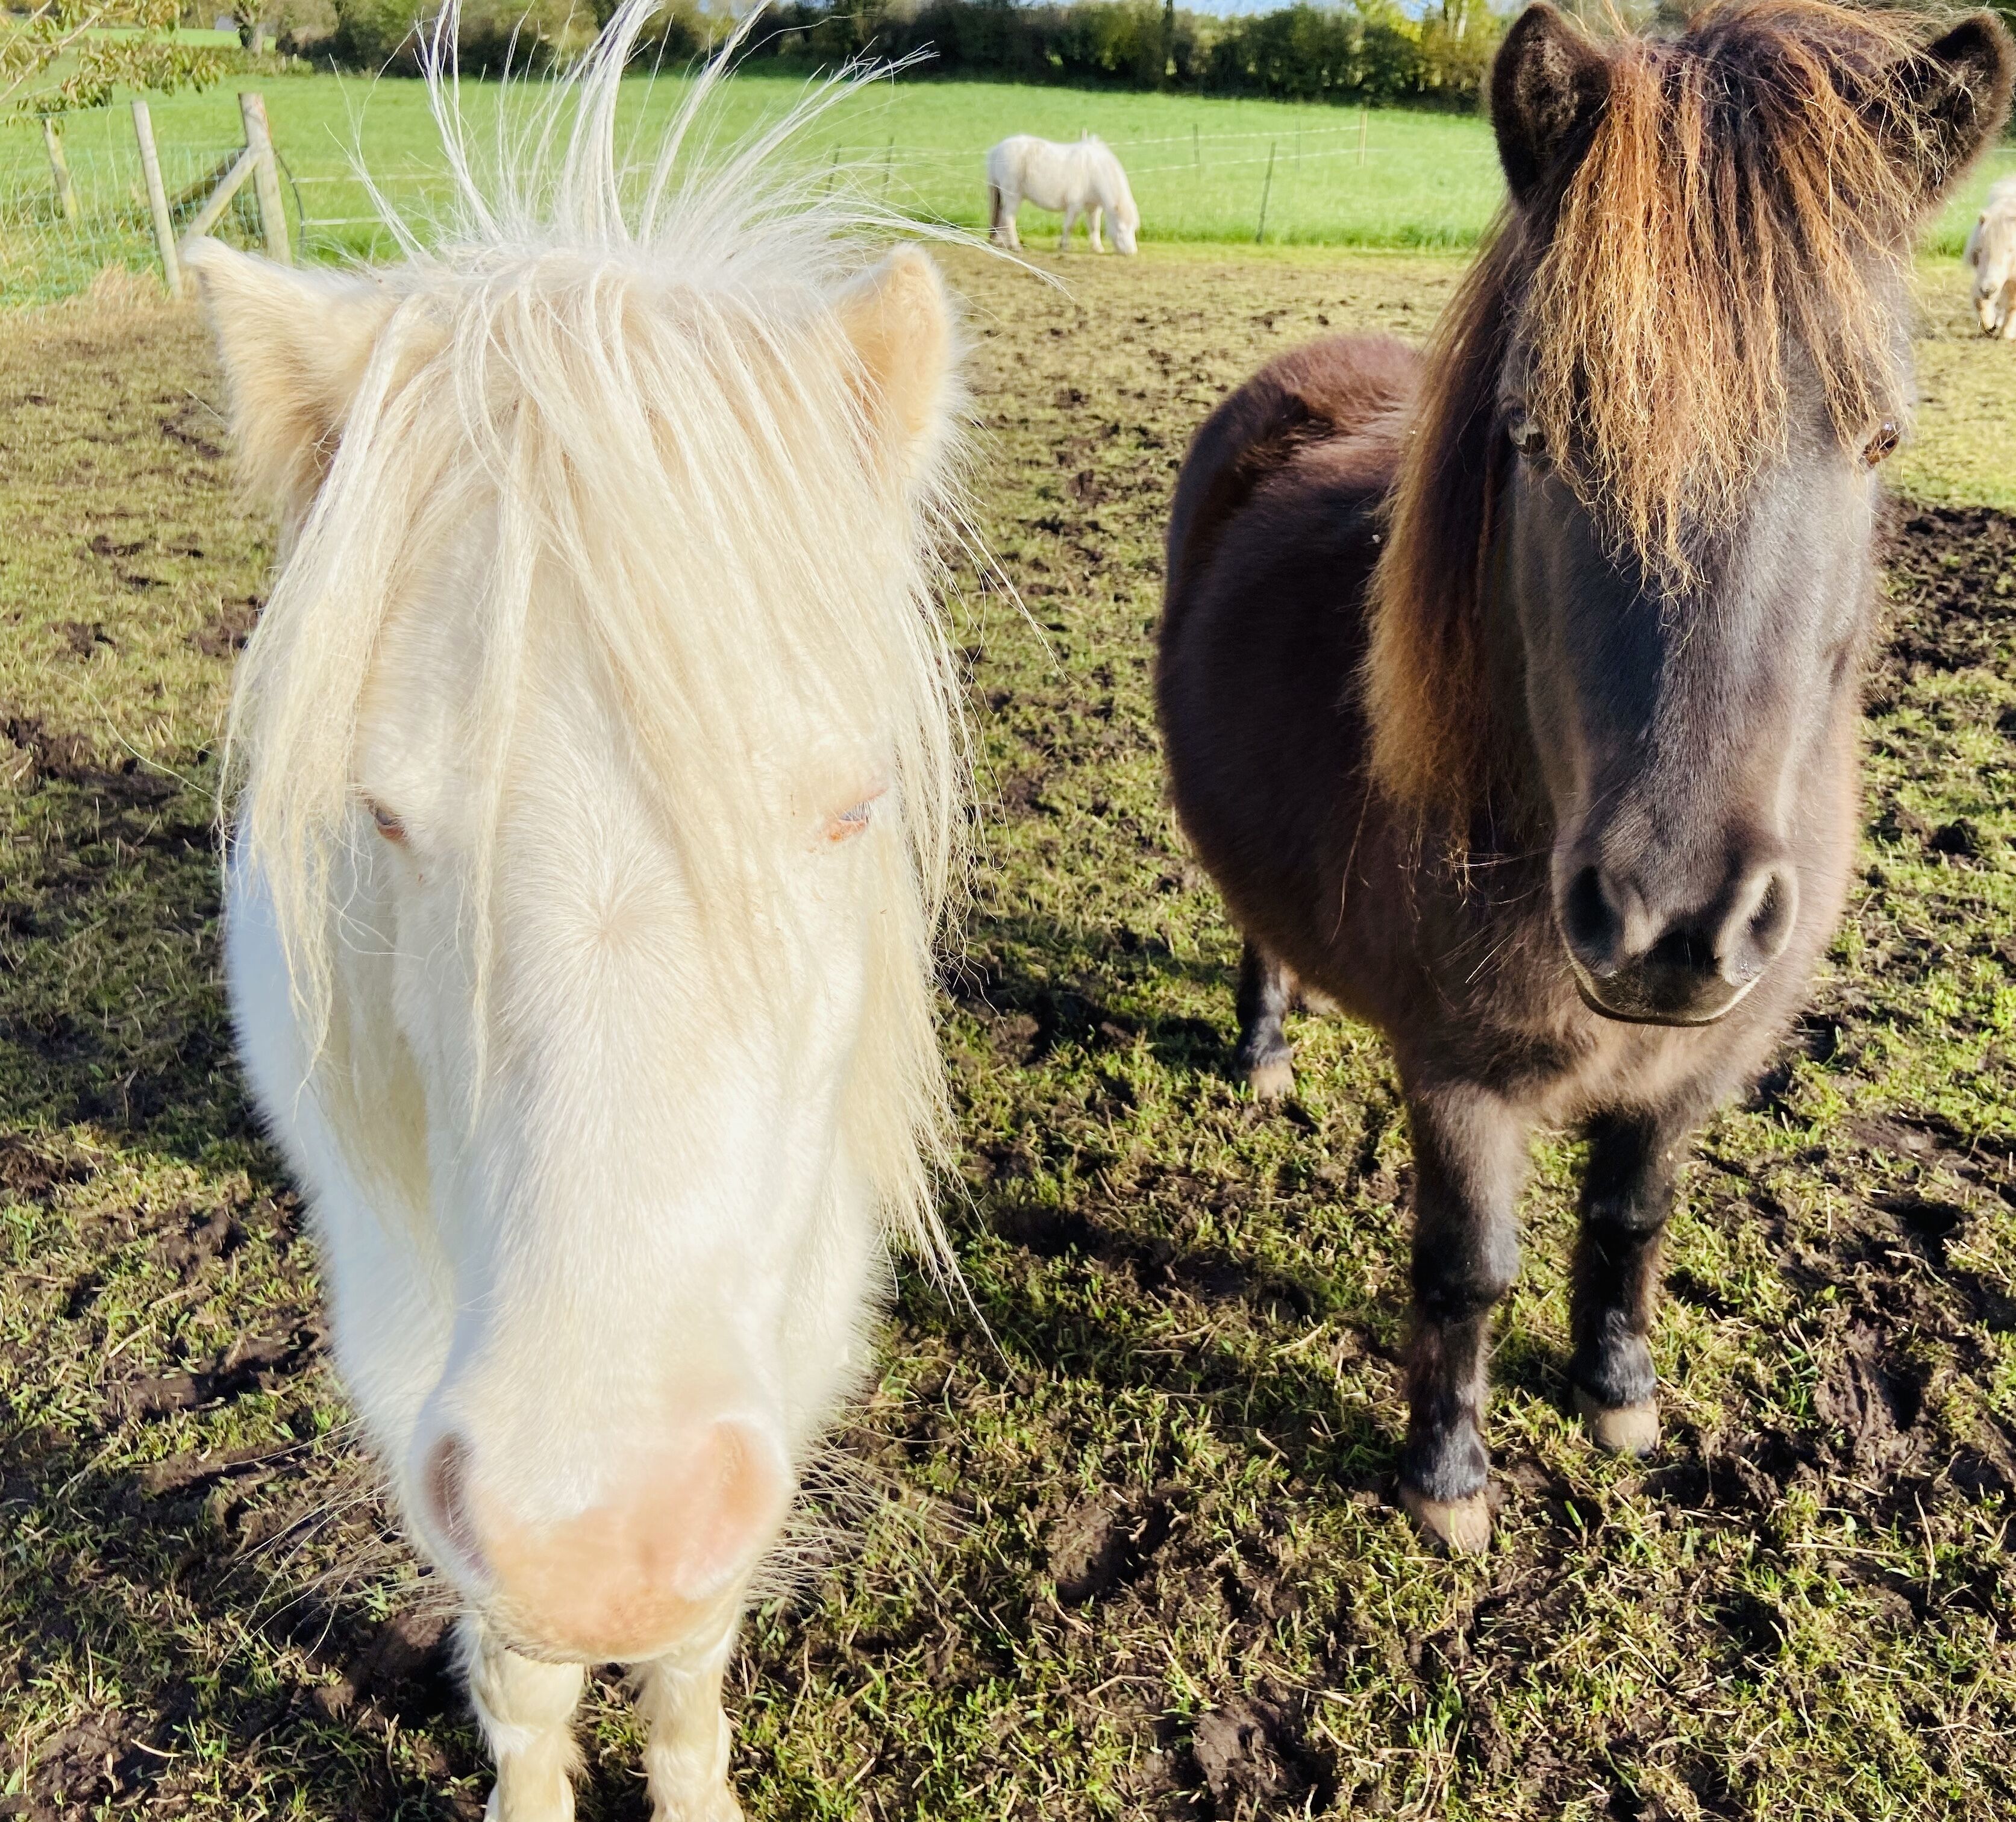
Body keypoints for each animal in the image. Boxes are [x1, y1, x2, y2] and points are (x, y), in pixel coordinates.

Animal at [184, 5, 975, 1814]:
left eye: (849, 809)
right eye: (381, 814)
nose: (596, 1536)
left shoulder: (784, 1324)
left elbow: (689, 1654)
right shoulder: (414, 1346)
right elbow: (527, 1670)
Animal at [986, 132, 1140, 254]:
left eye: (1134, 228)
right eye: (1121, 229)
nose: (1131, 252)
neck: (1095, 170)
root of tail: (996, 150)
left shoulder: (1093, 207)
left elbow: (1094, 227)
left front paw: (1097, 247)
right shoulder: (1074, 206)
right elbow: (1069, 226)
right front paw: (1064, 246)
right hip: (1013, 196)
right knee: (1009, 218)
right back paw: (1015, 246)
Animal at [1963, 173, 2016, 334]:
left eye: (2011, 250)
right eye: (1980, 249)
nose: (1988, 290)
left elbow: (2012, 304)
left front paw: (2007, 334)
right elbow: (1979, 300)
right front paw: (1990, 326)